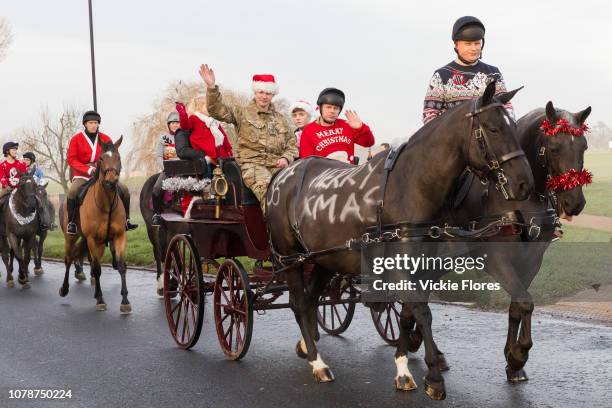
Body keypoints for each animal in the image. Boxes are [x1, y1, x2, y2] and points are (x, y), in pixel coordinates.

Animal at [59, 137, 131, 312]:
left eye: (119, 157)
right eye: (101, 159)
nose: (111, 181)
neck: (107, 204)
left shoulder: (119, 236)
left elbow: (121, 266)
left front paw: (125, 301)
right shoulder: (92, 239)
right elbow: (98, 269)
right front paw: (100, 300)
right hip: (71, 237)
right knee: (69, 259)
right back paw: (64, 289)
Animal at [266, 81, 532, 400]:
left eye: (513, 127)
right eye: (493, 128)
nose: (524, 184)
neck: (409, 185)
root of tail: (283, 175)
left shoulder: (420, 265)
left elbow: (407, 314)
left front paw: (403, 369)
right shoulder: (399, 265)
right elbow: (422, 312)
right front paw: (433, 376)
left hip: (322, 258)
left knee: (308, 301)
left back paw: (309, 348)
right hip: (291, 258)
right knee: (297, 303)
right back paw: (318, 363)